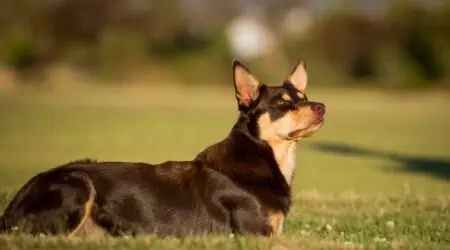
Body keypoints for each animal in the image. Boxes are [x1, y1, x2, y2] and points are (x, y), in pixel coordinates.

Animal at [0, 59, 326, 237]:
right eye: (282, 103)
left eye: (303, 97)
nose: (321, 107)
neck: (263, 155)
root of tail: (12, 206)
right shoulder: (255, 236)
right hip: (78, 185)